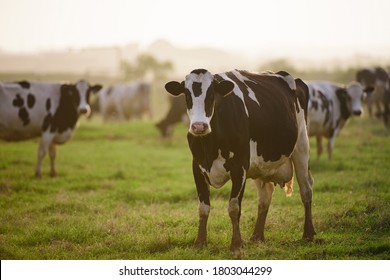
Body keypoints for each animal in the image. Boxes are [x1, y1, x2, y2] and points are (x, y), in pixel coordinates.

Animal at [165, 68, 314, 252]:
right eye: (186, 94)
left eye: (212, 94)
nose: (199, 126)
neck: (210, 145)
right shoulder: (197, 168)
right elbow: (203, 208)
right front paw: (199, 242)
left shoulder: (239, 168)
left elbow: (234, 208)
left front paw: (236, 243)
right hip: (261, 165)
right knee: (265, 197)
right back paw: (257, 236)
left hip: (301, 147)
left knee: (306, 190)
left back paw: (308, 233)